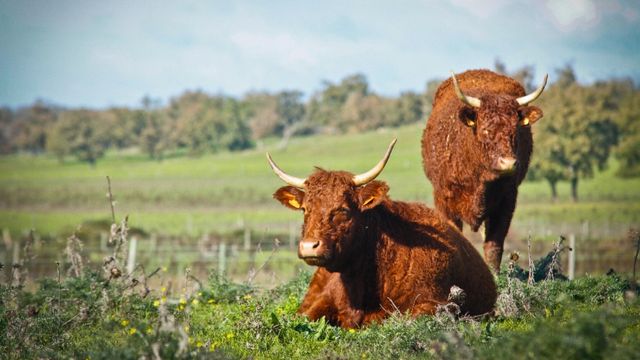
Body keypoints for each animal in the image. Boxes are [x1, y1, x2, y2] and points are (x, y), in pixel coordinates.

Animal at [422, 69, 548, 272]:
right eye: (486, 130)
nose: (508, 163)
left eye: (516, 130)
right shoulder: (444, 199)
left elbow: (493, 246)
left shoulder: (507, 201)